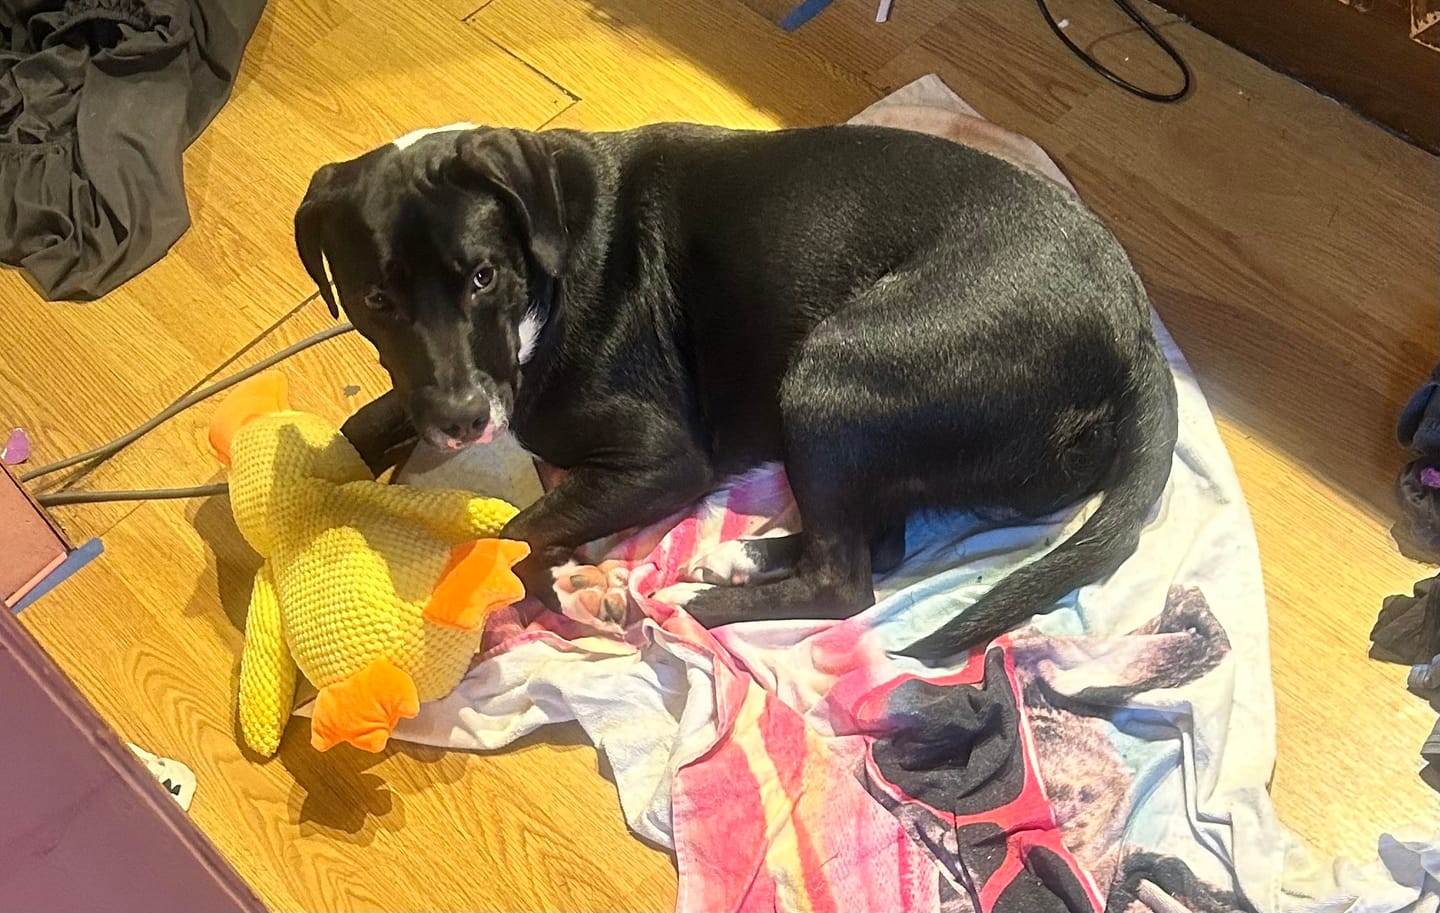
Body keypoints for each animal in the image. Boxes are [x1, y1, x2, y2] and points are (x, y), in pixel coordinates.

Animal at [295, 122, 1180, 662]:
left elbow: (514, 532)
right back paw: (733, 557)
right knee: (877, 544)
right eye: (376, 299)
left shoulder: (661, 459)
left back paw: (689, 598)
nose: (460, 419)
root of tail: (1136, 330)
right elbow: (367, 423)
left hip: (833, 372)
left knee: (845, 579)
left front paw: (577, 590)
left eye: (482, 275)